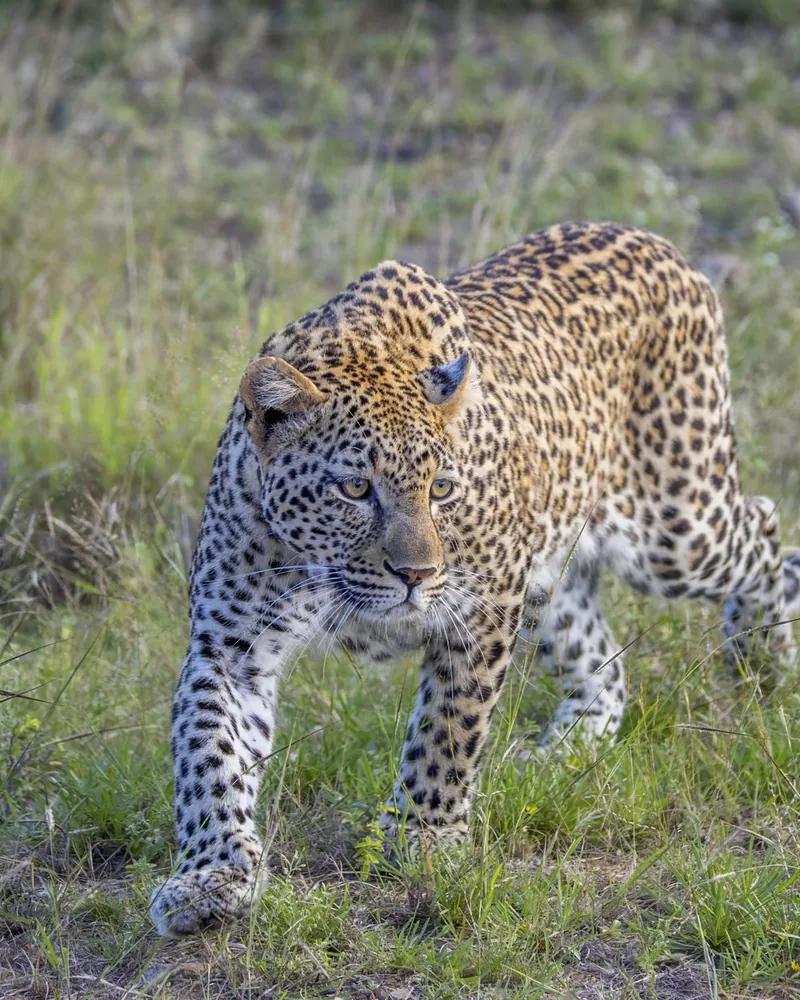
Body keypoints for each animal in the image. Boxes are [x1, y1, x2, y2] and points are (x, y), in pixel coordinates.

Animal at [150, 221, 800, 937]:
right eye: (355, 489)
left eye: (442, 488)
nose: (416, 573)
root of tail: (655, 241)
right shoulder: (229, 647)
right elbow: (209, 756)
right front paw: (212, 875)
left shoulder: (481, 606)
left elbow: (448, 727)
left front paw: (424, 836)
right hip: (556, 574)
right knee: (603, 666)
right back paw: (561, 752)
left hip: (675, 529)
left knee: (764, 523)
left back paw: (763, 658)